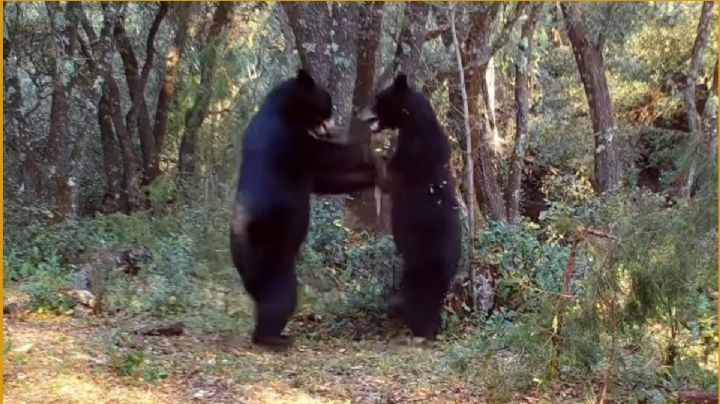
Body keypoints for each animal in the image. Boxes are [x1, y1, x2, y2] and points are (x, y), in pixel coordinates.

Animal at [231, 70, 376, 350]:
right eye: (326, 105)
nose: (331, 124)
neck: (283, 108)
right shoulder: (289, 139)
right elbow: (327, 157)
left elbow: (326, 178)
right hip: (270, 248)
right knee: (281, 293)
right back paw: (274, 337)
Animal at [358, 74, 462, 340]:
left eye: (378, 98)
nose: (360, 114)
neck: (416, 124)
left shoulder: (409, 155)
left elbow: (387, 176)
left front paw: (374, 153)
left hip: (418, 264)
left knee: (418, 296)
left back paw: (414, 323)